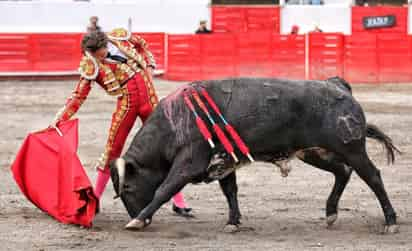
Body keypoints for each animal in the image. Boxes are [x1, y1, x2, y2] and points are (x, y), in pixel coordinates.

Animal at [108, 77, 400, 233]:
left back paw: (390, 222)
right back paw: (330, 214)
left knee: (373, 177)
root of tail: (337, 85)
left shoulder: (188, 164)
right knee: (343, 171)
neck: (174, 122)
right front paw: (233, 222)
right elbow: (230, 191)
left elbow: (164, 189)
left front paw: (136, 221)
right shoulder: (224, 162)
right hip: (314, 152)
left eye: (128, 189)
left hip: (352, 149)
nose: (141, 217)